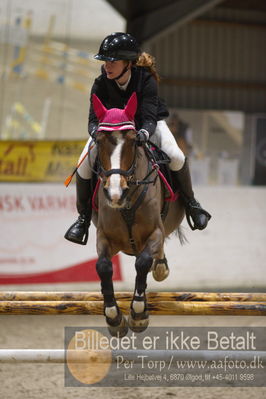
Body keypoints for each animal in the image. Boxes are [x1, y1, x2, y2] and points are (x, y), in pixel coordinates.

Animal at [90, 93, 184, 338]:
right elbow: (103, 267)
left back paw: (160, 267)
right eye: (99, 141)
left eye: (133, 141)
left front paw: (139, 313)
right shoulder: (104, 236)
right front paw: (114, 317)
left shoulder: (156, 232)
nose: (115, 193)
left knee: (151, 259)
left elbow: (142, 262)